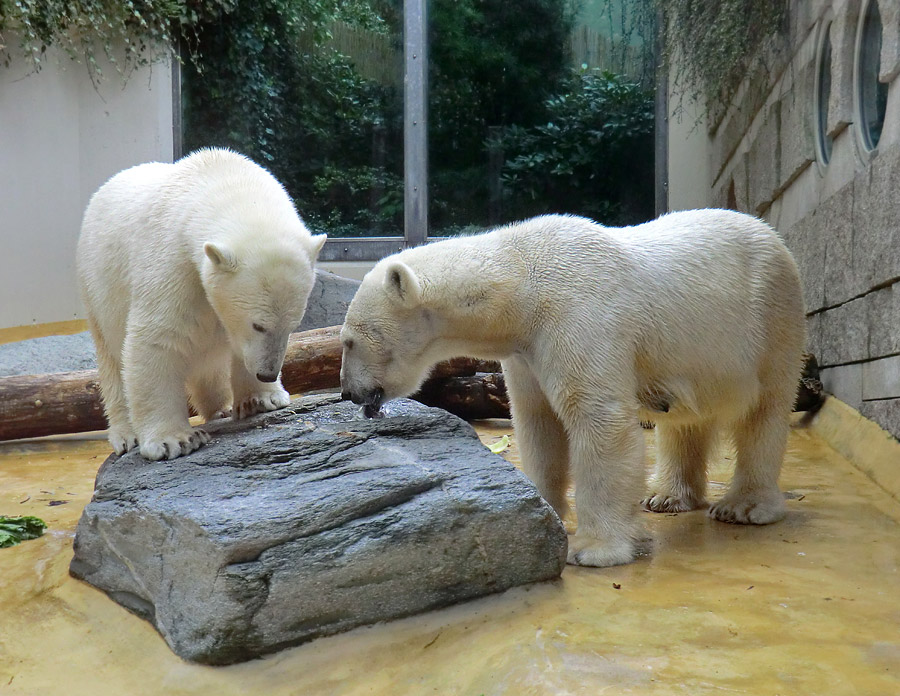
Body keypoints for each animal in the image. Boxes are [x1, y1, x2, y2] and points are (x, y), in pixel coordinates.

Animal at [76, 148, 324, 462]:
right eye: (257, 325)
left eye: (293, 326)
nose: (267, 372)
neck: (217, 176)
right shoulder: (172, 261)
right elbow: (156, 340)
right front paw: (173, 441)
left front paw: (261, 399)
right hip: (96, 289)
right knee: (112, 359)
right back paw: (126, 434)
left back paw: (222, 408)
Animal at [342, 211, 804, 564]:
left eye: (347, 341)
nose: (348, 392)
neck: (522, 281)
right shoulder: (526, 351)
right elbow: (538, 423)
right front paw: (542, 508)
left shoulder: (579, 316)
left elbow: (598, 419)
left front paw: (593, 549)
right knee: (686, 420)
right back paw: (667, 497)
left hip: (770, 319)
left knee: (765, 410)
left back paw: (744, 505)